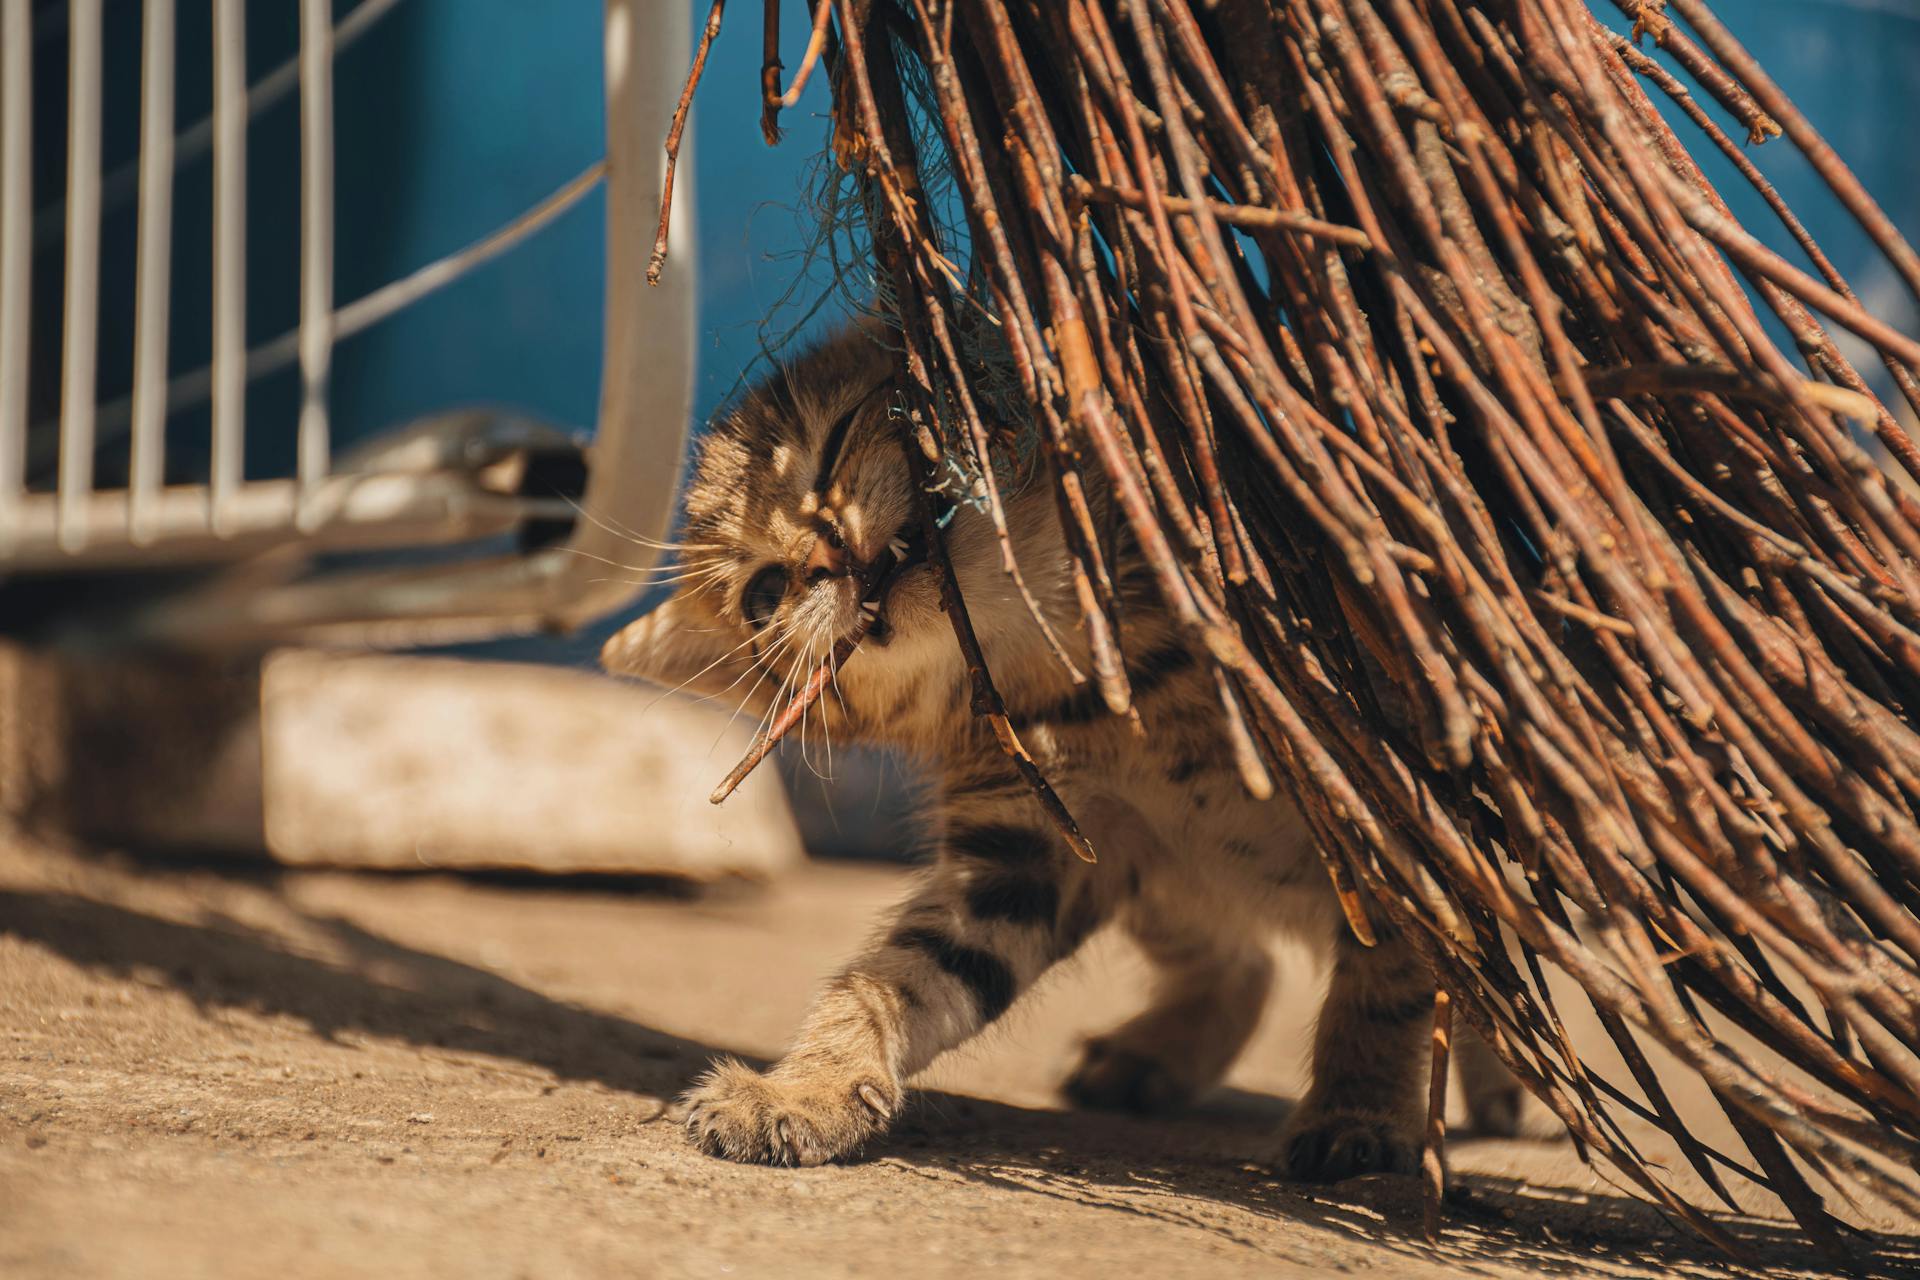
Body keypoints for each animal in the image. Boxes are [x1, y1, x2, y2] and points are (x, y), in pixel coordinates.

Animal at [599, 328, 1512, 1182]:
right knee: (1242, 964)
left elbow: (1390, 973)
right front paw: (807, 1089)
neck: (1100, 673)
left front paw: (1360, 1110)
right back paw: (1159, 1052)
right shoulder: (1028, 850)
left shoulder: (1396, 792)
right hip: (1165, 878)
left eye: (837, 440)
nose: (825, 555)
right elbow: (902, 975)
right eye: (763, 596)